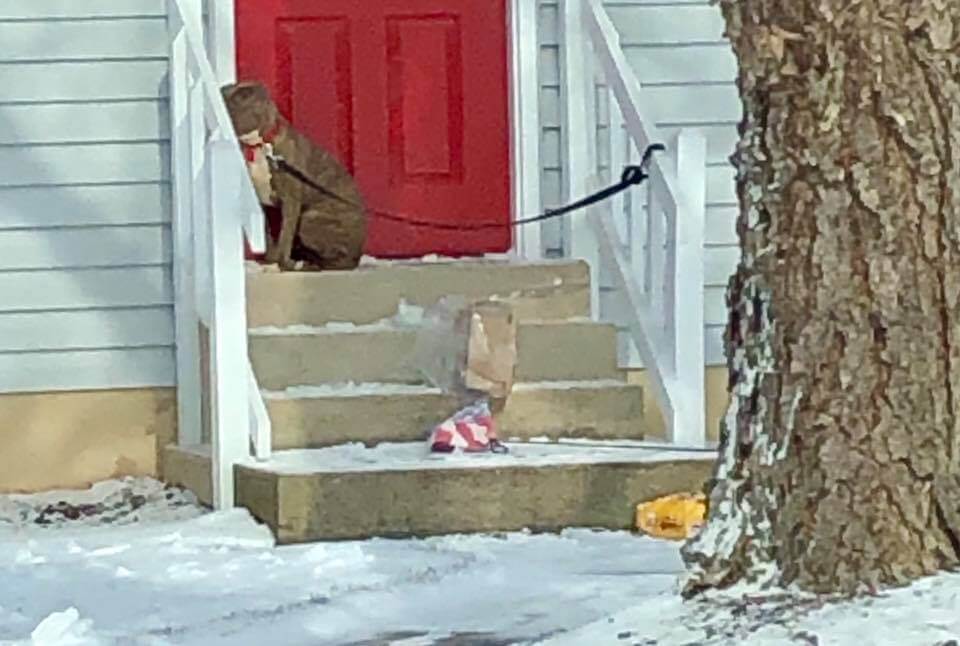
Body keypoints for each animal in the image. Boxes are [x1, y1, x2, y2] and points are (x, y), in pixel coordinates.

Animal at [221, 81, 368, 270]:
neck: (261, 145)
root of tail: (358, 252)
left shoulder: (290, 201)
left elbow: (285, 235)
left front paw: (282, 264)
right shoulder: (261, 203)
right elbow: (268, 236)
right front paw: (270, 260)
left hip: (310, 220)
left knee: (341, 260)